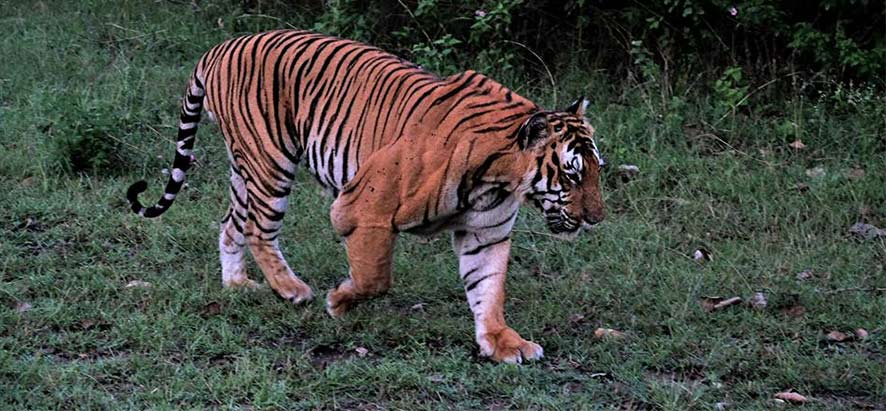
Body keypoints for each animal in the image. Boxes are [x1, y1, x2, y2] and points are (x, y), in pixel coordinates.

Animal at [126, 30, 604, 366]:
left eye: (597, 170)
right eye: (572, 174)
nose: (596, 219)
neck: (499, 177)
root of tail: (221, 46)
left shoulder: (486, 234)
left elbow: (488, 289)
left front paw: (503, 343)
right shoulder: (363, 207)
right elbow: (375, 277)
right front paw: (338, 301)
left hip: (244, 166)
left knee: (231, 224)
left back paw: (239, 285)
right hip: (269, 161)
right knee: (259, 229)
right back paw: (292, 289)